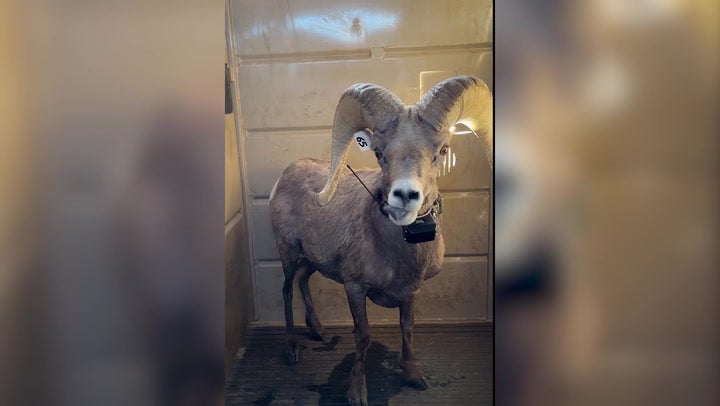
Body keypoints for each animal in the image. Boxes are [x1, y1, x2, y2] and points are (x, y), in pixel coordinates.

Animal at [269, 76, 493, 406]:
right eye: (379, 153)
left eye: (442, 150)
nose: (405, 195)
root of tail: (284, 176)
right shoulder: (355, 287)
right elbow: (363, 336)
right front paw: (357, 392)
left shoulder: (411, 291)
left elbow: (407, 327)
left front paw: (413, 377)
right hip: (288, 252)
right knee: (286, 290)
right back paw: (293, 350)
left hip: (312, 260)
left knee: (302, 280)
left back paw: (319, 332)